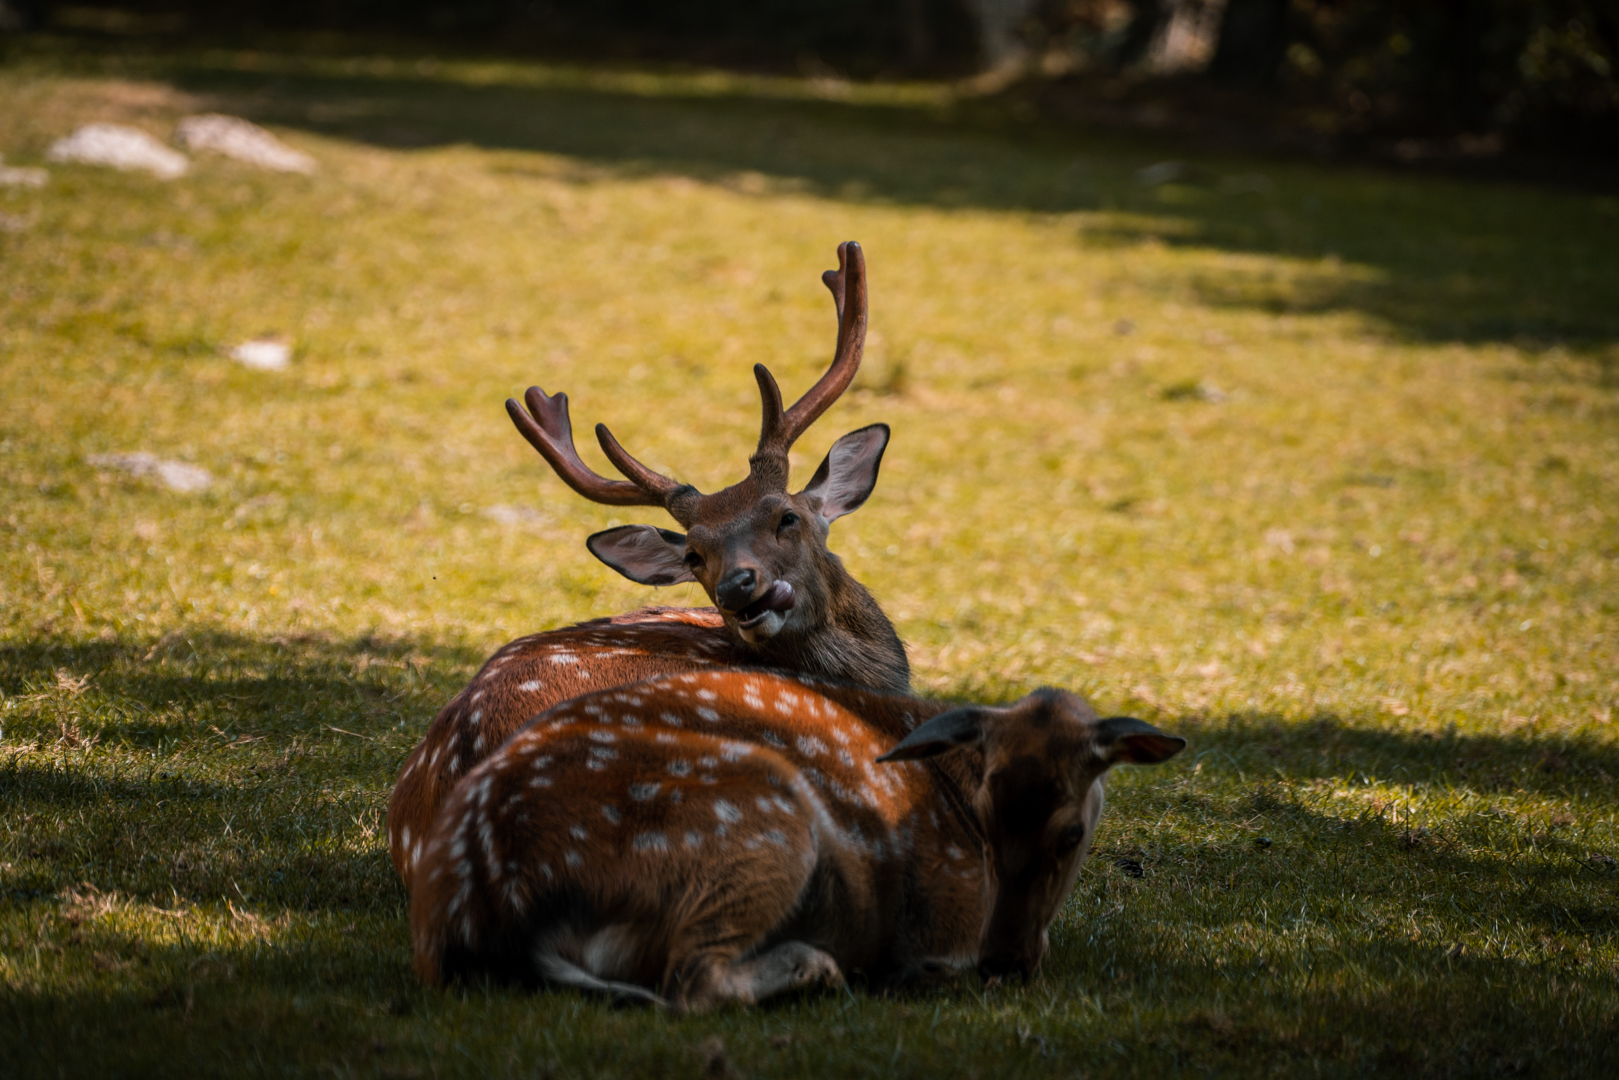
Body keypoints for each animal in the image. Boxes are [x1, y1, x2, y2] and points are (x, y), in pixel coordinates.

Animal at [410, 668, 1186, 1011]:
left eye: (1070, 832)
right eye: (986, 822)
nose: (1005, 960)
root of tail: (490, 910)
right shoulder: (947, 915)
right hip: (759, 814)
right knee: (692, 980)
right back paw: (820, 967)